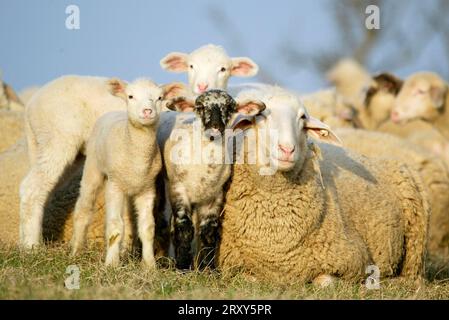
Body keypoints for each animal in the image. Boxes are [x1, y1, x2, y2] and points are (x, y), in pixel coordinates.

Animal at [19, 74, 186, 248]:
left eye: (160, 98)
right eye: (130, 96)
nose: (148, 112)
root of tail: (31, 105)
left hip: (54, 149)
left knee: (41, 189)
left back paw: (25, 243)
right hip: (58, 140)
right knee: (31, 189)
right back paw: (32, 246)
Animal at [72, 78, 164, 268]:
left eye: (160, 98)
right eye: (130, 96)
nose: (147, 111)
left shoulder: (147, 189)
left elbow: (147, 227)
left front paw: (149, 265)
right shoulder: (114, 187)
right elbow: (114, 226)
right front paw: (112, 264)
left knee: (127, 221)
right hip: (93, 169)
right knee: (84, 209)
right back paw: (76, 252)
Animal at [159, 89, 266, 268]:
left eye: (229, 107)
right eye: (200, 106)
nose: (215, 127)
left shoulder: (215, 197)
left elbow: (209, 231)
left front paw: (208, 268)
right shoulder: (178, 190)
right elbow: (184, 228)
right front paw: (183, 265)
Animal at [217, 84, 428, 282]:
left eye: (302, 118)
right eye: (261, 115)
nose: (287, 149)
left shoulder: (354, 261)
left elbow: (325, 281)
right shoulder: (233, 266)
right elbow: (249, 277)